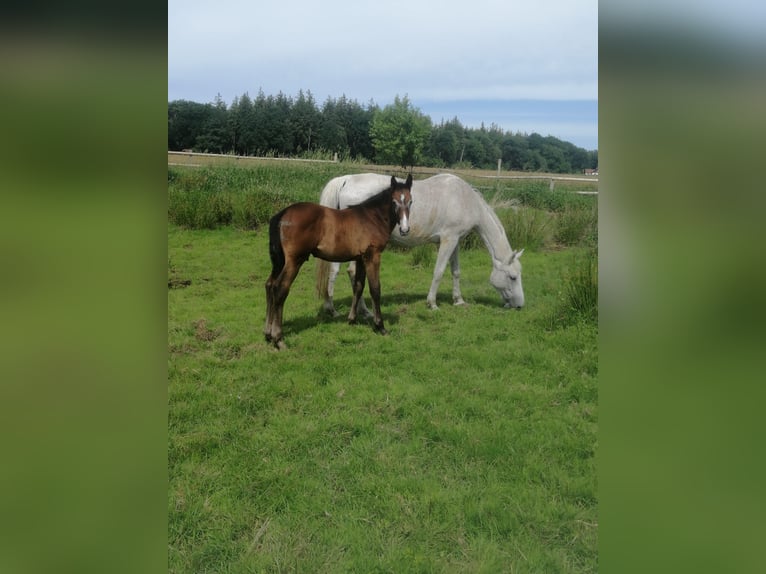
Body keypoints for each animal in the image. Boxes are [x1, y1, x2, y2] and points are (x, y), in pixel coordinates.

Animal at [316, 173, 524, 318]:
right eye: (513, 277)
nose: (520, 305)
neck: (465, 199)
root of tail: (346, 180)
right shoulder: (448, 240)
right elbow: (439, 271)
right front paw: (432, 304)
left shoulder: (455, 241)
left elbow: (455, 272)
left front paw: (458, 300)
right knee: (352, 272)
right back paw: (359, 311)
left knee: (336, 271)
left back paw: (334, 308)